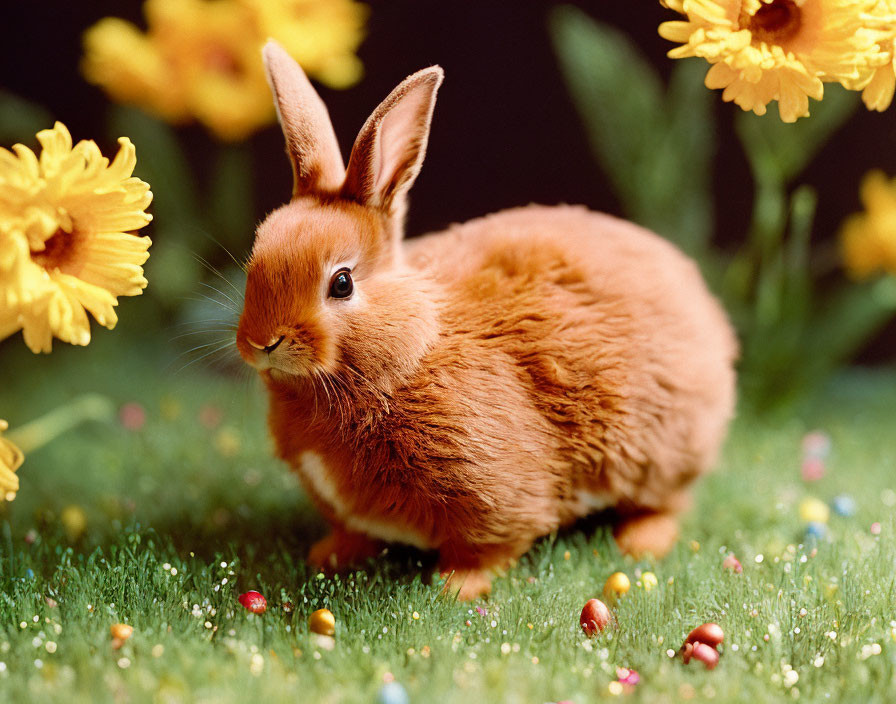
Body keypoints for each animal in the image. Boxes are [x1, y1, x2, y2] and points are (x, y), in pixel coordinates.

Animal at [236, 41, 736, 600]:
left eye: (341, 283)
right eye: (254, 262)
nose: (261, 342)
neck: (409, 355)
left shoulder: (496, 497)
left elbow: (486, 547)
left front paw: (455, 589)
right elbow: (353, 532)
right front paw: (329, 556)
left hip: (664, 452)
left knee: (668, 503)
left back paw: (641, 542)